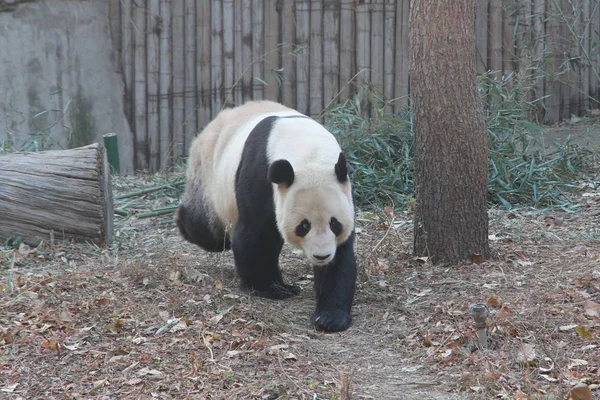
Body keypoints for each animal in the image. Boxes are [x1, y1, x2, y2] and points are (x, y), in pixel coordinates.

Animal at [177, 100, 356, 332]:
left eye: (334, 224)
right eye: (304, 226)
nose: (321, 256)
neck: (308, 151)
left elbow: (341, 258)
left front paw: (330, 317)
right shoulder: (260, 174)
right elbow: (255, 235)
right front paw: (270, 289)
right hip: (208, 175)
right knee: (205, 225)